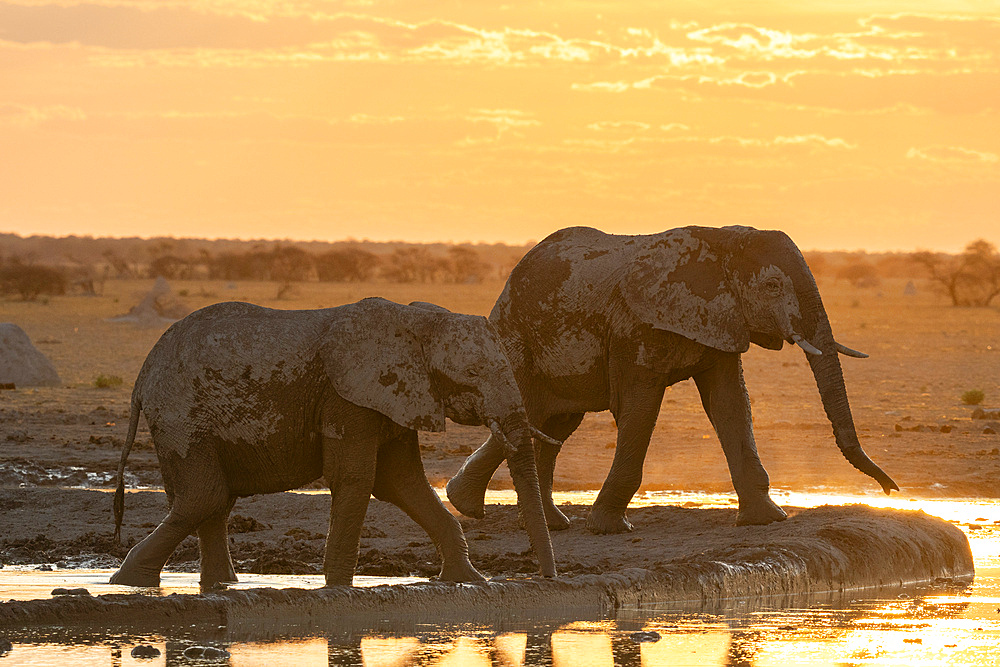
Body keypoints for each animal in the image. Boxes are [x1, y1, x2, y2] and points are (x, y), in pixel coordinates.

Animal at [113, 294, 560, 588]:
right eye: (471, 374)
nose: (547, 577)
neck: (417, 322)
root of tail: (142, 375)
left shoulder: (396, 396)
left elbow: (402, 482)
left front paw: (469, 579)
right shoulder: (348, 397)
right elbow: (357, 479)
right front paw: (340, 588)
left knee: (216, 501)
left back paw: (221, 585)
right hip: (181, 415)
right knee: (203, 496)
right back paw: (129, 582)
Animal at [446, 227, 900, 536]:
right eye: (772, 286)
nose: (891, 489)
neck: (720, 242)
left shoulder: (722, 320)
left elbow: (730, 403)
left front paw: (767, 520)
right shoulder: (634, 328)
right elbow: (640, 407)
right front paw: (609, 528)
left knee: (553, 424)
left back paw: (532, 520)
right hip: (514, 339)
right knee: (529, 415)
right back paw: (469, 505)